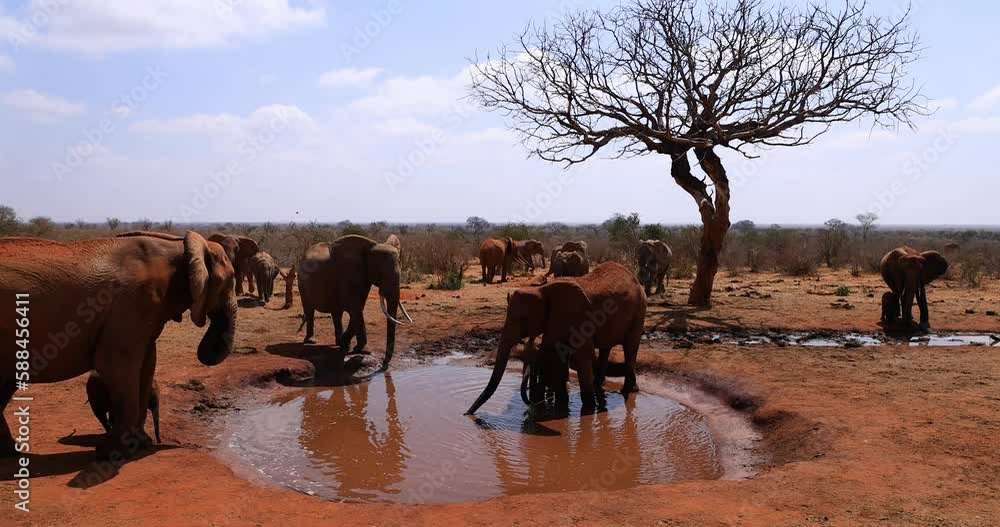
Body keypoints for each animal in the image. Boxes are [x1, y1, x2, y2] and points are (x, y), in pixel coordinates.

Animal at [0, 231, 236, 459]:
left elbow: (146, 364)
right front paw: (112, 453)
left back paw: (10, 452)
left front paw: (140, 444)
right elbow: (117, 366)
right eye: (232, 280)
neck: (177, 246)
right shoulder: (129, 305)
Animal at [297, 235, 413, 369]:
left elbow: (357, 310)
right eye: (380, 273)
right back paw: (311, 341)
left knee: (336, 313)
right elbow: (355, 309)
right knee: (309, 309)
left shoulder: (362, 277)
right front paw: (363, 350)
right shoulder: (348, 274)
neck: (370, 248)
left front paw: (346, 344)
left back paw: (339, 342)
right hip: (302, 281)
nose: (384, 366)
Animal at [465, 262, 646, 415]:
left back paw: (628, 391)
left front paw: (587, 410)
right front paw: (561, 406)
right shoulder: (554, 322)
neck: (542, 290)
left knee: (630, 347)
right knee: (605, 348)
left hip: (640, 309)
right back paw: (600, 387)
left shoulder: (580, 317)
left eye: (523, 319)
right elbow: (557, 356)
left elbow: (582, 356)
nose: (466, 414)